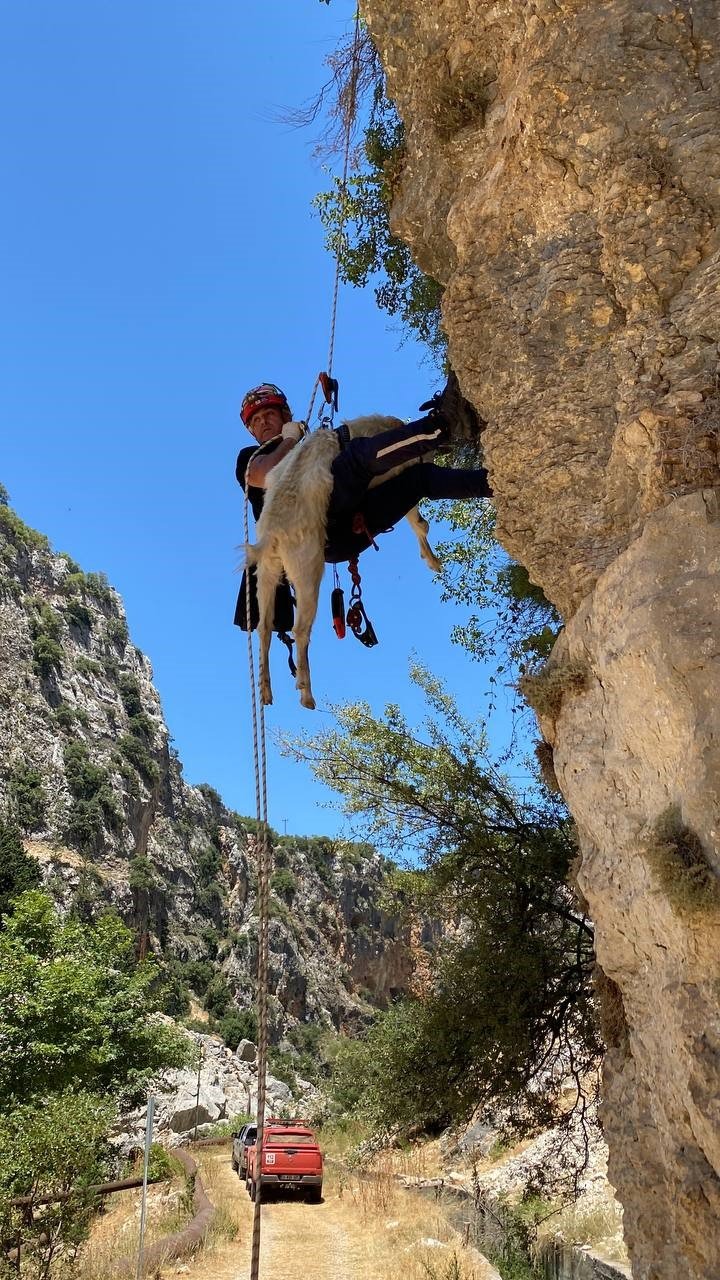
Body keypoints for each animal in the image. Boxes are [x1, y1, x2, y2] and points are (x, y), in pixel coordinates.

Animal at [244, 417, 438, 711]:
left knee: (264, 627)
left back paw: (266, 690)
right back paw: (306, 692)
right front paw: (431, 557)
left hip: (267, 574)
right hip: (308, 569)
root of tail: (273, 532)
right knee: (300, 629)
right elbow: (416, 519)